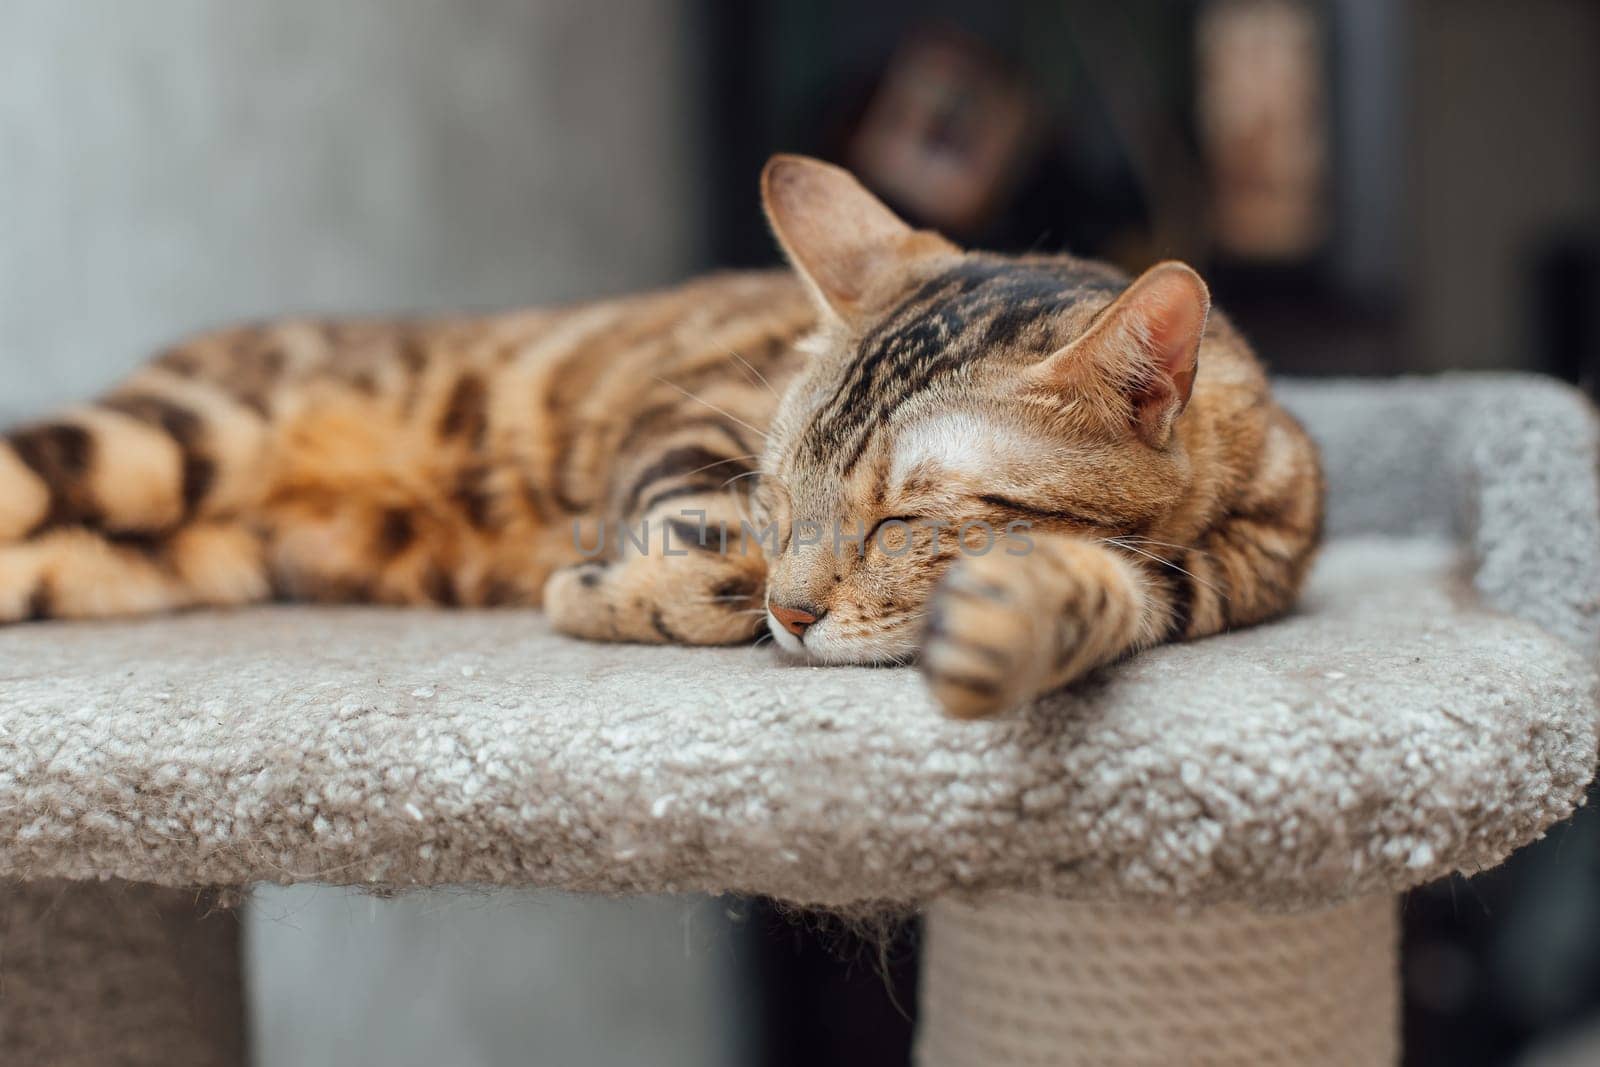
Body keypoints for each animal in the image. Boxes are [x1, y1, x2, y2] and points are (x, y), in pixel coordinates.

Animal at [0, 154, 1324, 716]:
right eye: (778, 494)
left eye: (902, 517)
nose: (797, 611)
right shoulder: (689, 414)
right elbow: (699, 545)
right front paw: (617, 589)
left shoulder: (1202, 581)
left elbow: (1090, 587)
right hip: (158, 442)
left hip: (152, 553)